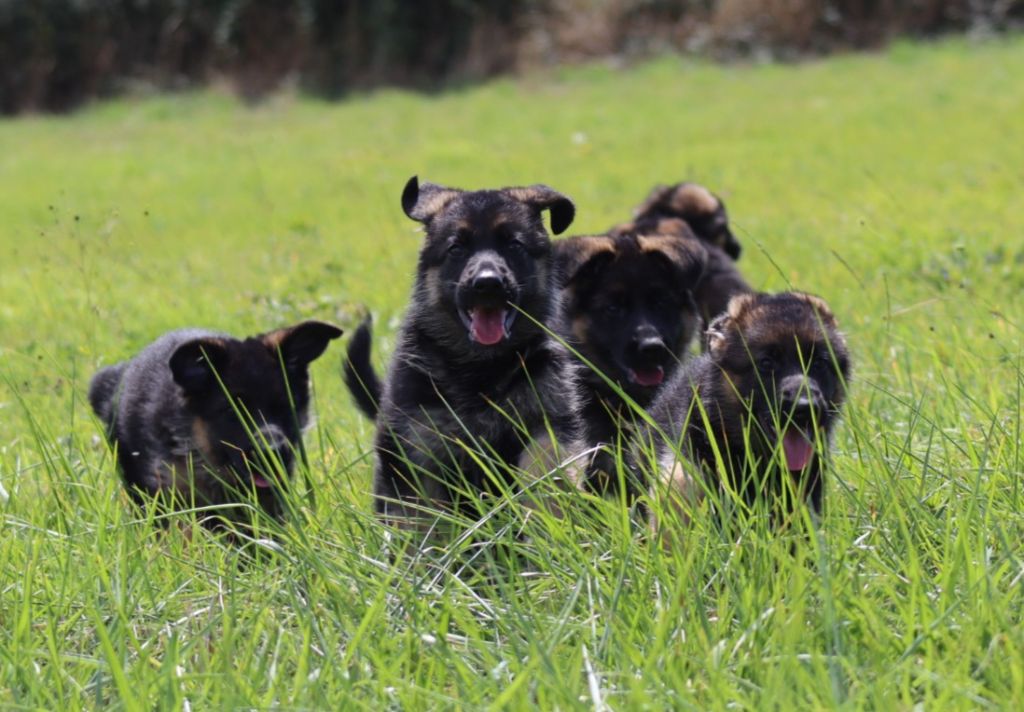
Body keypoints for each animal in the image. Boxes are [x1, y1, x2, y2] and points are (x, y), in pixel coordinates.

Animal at [344, 175, 585, 536]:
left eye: (514, 245)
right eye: (456, 249)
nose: (488, 284)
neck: (480, 370)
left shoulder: (547, 426)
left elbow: (540, 483)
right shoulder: (418, 448)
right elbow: (426, 526)